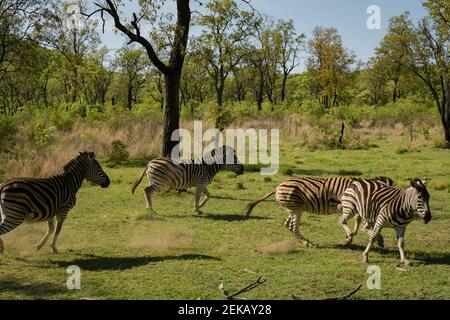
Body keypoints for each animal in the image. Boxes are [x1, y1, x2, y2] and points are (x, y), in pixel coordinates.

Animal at [244, 175, 392, 248]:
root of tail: (278, 186)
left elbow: (358, 219)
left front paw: (353, 236)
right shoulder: (344, 206)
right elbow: (356, 219)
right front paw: (351, 236)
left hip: (293, 209)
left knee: (288, 225)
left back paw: (304, 242)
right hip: (296, 209)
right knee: (294, 227)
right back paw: (308, 243)